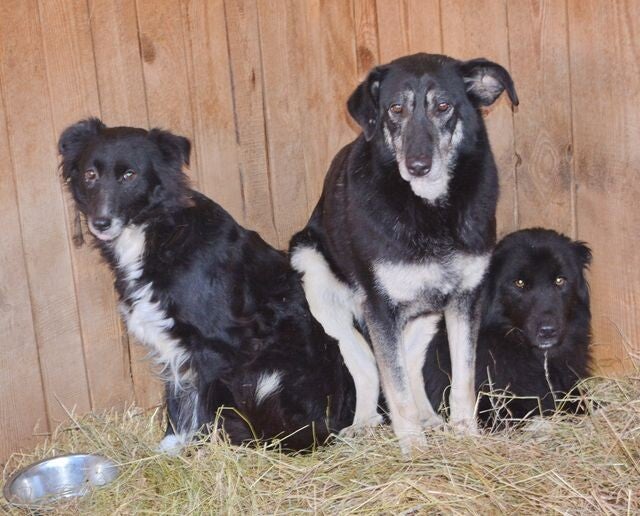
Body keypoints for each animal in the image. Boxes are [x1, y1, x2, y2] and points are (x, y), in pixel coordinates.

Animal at [59, 118, 355, 453]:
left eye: (129, 175)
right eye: (90, 175)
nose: (100, 222)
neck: (159, 232)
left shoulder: (218, 344)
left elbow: (202, 405)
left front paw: (198, 449)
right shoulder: (173, 341)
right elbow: (177, 398)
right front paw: (169, 448)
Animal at [290, 53, 518, 452]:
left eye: (443, 106)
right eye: (396, 109)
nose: (418, 166)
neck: (430, 210)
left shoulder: (465, 299)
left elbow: (462, 377)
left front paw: (466, 435)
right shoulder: (380, 308)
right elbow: (394, 385)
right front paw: (413, 448)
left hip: (427, 312)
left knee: (409, 361)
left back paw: (427, 417)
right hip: (315, 279)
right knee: (365, 362)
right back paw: (364, 423)